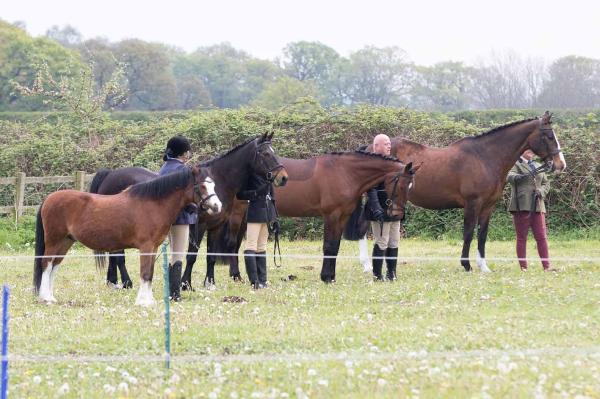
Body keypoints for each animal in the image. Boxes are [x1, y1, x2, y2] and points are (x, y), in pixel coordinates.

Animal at [33, 166, 220, 306]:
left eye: (213, 185)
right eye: (202, 186)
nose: (217, 206)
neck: (154, 204)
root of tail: (49, 199)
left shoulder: (153, 247)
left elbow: (150, 273)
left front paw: (149, 300)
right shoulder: (146, 246)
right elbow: (145, 273)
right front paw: (143, 302)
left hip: (65, 242)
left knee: (54, 265)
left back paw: (51, 296)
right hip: (54, 240)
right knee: (46, 264)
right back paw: (45, 298)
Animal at [86, 134, 288, 290]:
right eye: (266, 154)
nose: (283, 177)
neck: (219, 182)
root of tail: (110, 174)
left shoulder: (215, 227)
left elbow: (211, 257)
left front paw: (210, 283)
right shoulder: (200, 226)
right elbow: (192, 256)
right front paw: (185, 284)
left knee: (113, 254)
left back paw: (113, 282)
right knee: (118, 255)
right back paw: (127, 282)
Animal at [204, 150, 420, 284]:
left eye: (411, 186)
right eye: (401, 184)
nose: (397, 214)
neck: (345, 172)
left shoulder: (342, 217)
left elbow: (335, 248)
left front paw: (331, 277)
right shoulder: (331, 216)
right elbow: (329, 247)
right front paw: (326, 277)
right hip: (237, 214)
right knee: (232, 243)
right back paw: (237, 277)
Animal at [350, 110, 564, 272]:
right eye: (549, 136)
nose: (561, 164)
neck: (485, 158)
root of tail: (368, 147)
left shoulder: (488, 206)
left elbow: (482, 234)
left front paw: (483, 267)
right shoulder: (472, 203)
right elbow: (468, 232)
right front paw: (466, 265)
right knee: (362, 227)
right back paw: (367, 266)